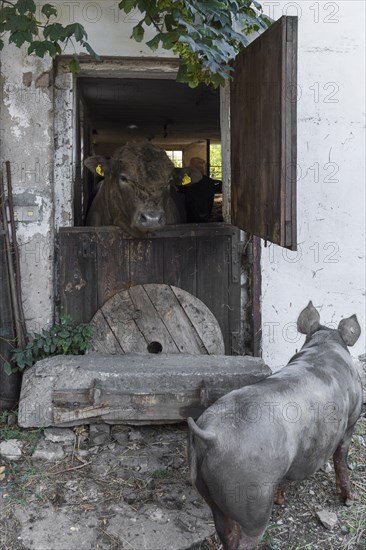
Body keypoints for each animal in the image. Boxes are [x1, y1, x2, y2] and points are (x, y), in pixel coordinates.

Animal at [189, 304, 364, 548]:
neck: (325, 346)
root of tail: (212, 436)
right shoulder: (351, 421)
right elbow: (341, 460)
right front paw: (350, 498)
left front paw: (281, 499)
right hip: (251, 493)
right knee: (246, 537)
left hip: (207, 489)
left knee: (225, 530)